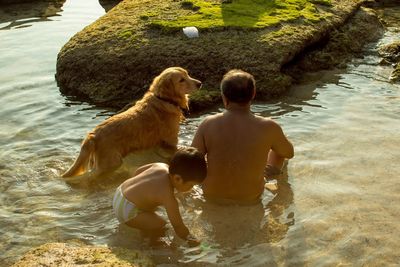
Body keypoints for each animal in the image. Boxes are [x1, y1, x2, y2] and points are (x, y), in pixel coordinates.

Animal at [62, 67, 202, 179]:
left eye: (188, 74)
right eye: (181, 80)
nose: (200, 83)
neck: (164, 99)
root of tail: (93, 135)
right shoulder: (171, 140)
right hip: (111, 163)